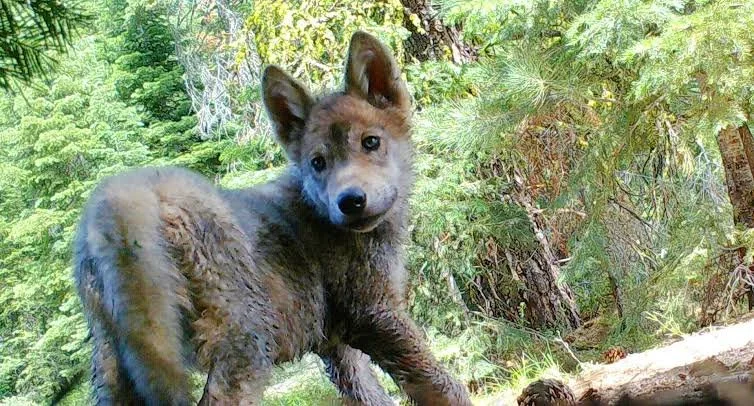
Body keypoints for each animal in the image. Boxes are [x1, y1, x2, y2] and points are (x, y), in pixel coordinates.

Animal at [73, 31, 472, 405]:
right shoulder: (375, 317)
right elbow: (445, 387)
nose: (350, 202)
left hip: (115, 368)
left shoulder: (337, 347)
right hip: (247, 345)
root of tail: (118, 197)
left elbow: (371, 396)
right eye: (317, 163)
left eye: (371, 142)